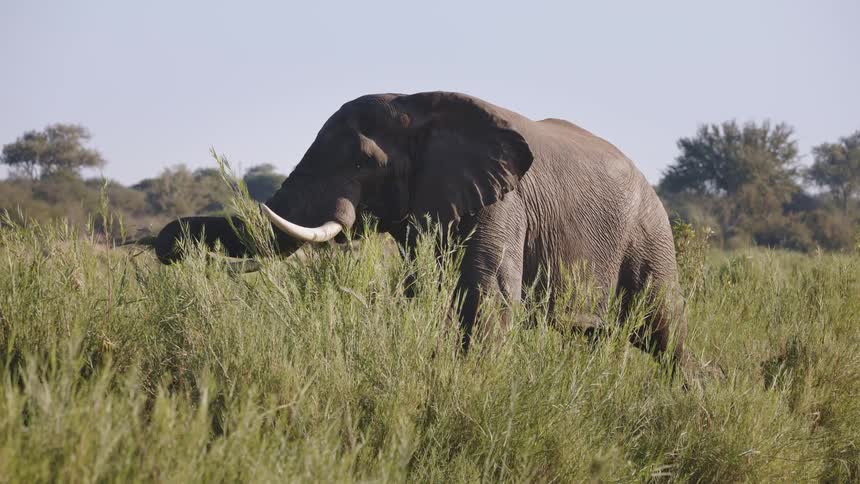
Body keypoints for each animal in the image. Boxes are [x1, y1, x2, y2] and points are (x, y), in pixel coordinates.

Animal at [155, 91, 690, 371]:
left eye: (362, 162)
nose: (165, 245)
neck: (419, 103)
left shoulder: (504, 202)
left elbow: (488, 297)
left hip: (649, 233)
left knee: (666, 329)